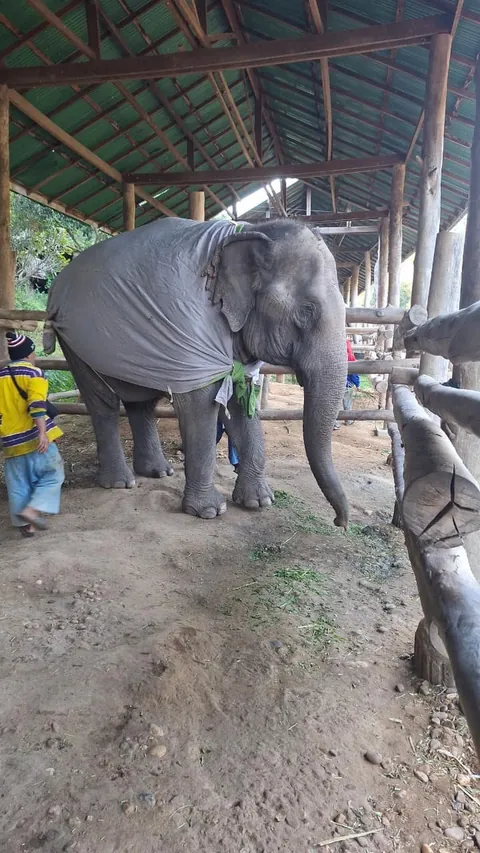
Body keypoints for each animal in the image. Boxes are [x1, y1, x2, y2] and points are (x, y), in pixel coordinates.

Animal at [45, 217, 349, 527]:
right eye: (307, 311)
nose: (340, 522)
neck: (249, 231)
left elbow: (241, 402)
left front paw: (258, 502)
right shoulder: (192, 328)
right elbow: (201, 406)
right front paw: (210, 512)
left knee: (141, 402)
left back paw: (158, 472)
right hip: (76, 344)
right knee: (103, 403)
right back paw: (120, 483)